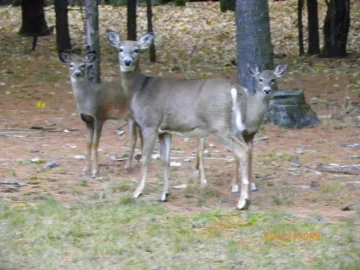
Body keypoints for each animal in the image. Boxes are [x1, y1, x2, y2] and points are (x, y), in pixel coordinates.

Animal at [105, 30, 286, 210]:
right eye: (120, 49)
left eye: (136, 50)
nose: (127, 61)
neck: (138, 89)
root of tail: (235, 88)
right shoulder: (165, 130)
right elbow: (165, 160)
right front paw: (164, 195)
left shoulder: (150, 124)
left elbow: (145, 158)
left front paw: (137, 192)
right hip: (234, 127)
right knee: (247, 150)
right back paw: (246, 197)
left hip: (219, 124)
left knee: (241, 151)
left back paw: (242, 202)